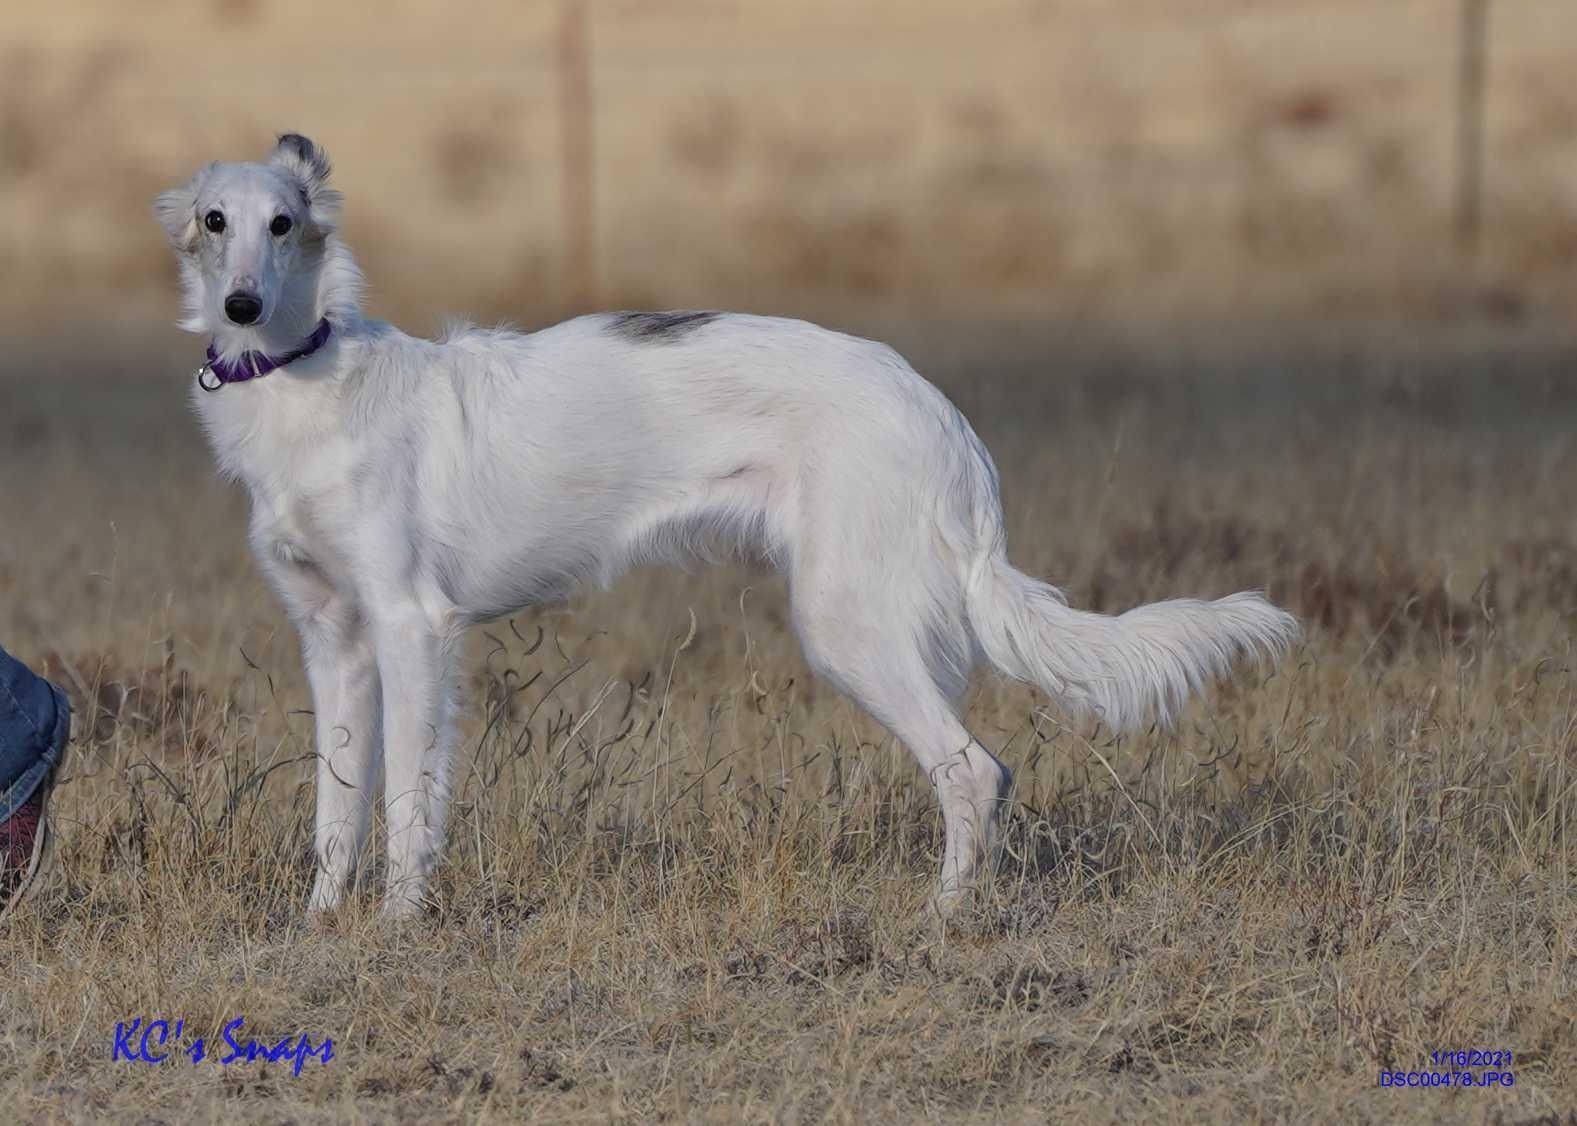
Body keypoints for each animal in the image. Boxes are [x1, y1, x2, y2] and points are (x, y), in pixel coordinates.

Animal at [154, 134, 1299, 918]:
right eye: (214, 221)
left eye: (283, 223)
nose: (244, 308)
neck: (304, 382)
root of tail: (936, 411)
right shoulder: (334, 639)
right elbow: (336, 809)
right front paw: (320, 925)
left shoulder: (411, 627)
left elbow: (403, 807)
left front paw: (399, 926)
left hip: (847, 624)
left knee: (975, 771)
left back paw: (940, 918)